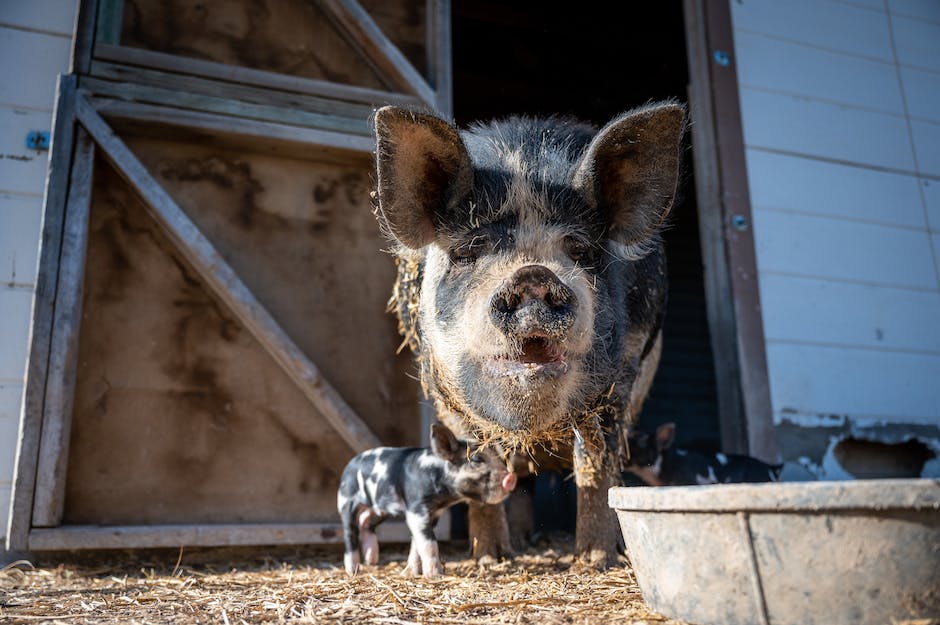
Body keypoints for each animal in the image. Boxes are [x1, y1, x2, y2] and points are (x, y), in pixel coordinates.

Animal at [336, 422, 516, 576]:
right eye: (477, 459)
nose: (511, 478)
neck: (443, 496)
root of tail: (349, 465)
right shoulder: (416, 509)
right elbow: (429, 543)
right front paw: (436, 575)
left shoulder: (434, 513)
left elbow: (417, 544)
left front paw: (413, 573)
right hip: (346, 501)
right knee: (349, 532)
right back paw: (353, 571)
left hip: (380, 510)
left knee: (366, 522)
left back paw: (371, 560)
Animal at [370, 100, 688, 564]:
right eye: (469, 250)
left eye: (580, 249)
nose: (533, 276)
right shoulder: (443, 393)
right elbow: (475, 456)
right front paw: (488, 559)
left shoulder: (623, 376)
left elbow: (595, 463)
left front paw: (596, 561)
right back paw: (518, 545)